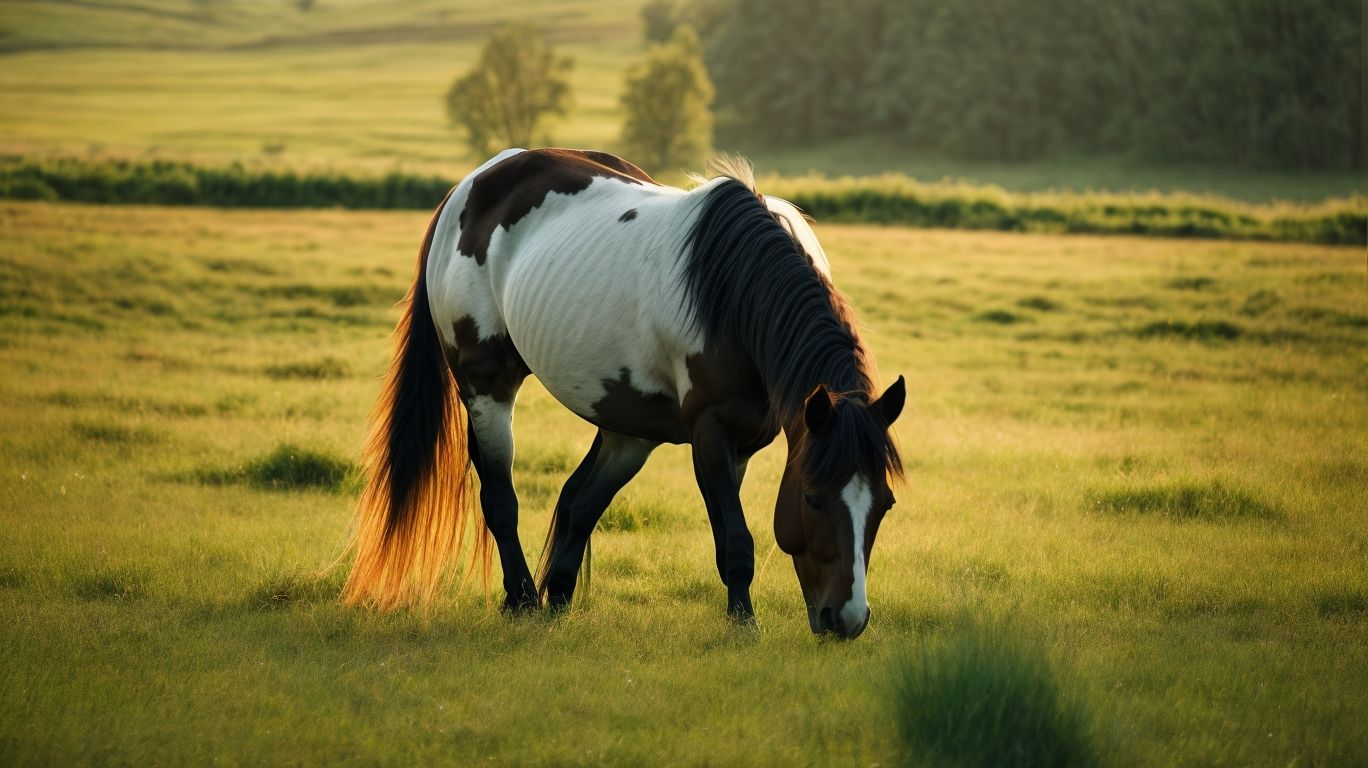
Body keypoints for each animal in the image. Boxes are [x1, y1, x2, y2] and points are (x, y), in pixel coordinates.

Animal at [342, 148, 904, 639]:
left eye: (885, 505)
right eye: (811, 498)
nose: (848, 619)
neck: (732, 296)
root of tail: (473, 183)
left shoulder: (741, 441)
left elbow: (722, 531)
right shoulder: (712, 431)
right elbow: (736, 540)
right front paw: (745, 627)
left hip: (626, 426)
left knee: (578, 502)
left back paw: (555, 600)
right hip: (486, 389)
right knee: (501, 497)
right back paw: (522, 600)